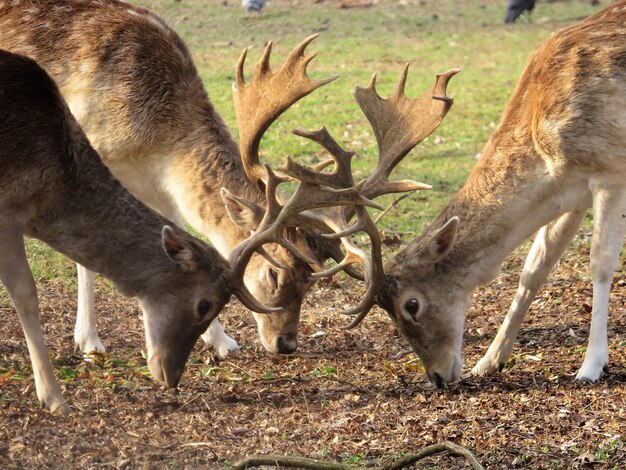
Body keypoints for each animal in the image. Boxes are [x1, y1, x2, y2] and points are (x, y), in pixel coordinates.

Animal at [1, 47, 370, 414]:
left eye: (311, 282)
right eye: (273, 273)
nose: (287, 344)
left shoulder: (158, 187)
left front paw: (222, 341)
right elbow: (43, 285)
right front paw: (77, 360)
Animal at [322, 1, 624, 388]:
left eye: (411, 304)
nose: (437, 376)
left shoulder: (609, 171)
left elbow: (600, 263)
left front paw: (591, 366)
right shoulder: (571, 193)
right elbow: (534, 266)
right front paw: (489, 361)